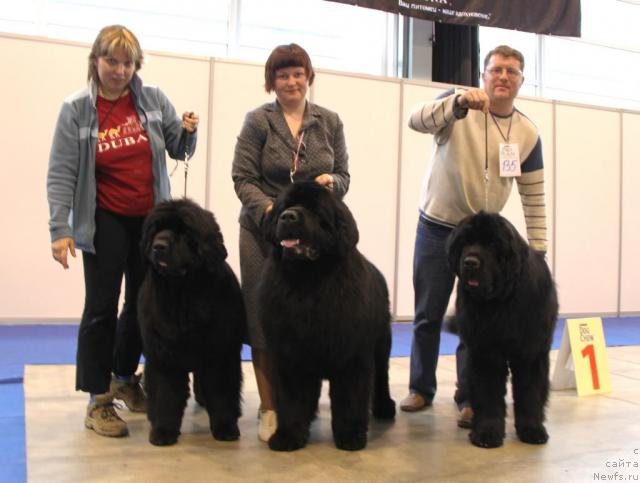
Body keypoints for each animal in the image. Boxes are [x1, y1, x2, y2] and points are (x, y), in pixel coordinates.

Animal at [138, 199, 245, 448]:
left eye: (184, 231)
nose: (158, 246)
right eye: (156, 229)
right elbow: (165, 394)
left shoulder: (220, 354)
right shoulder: (162, 354)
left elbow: (222, 392)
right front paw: (163, 431)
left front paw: (226, 427)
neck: (182, 293)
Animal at [258, 182, 396, 454]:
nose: (288, 217)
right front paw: (289, 435)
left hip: (381, 342)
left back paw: (385, 407)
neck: (308, 281)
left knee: (381, 374)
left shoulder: (352, 356)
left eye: (315, 210)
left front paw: (351, 435)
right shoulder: (290, 354)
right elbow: (292, 399)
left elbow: (351, 398)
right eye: (285, 206)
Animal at [448, 212, 556, 450]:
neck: (500, 301)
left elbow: (530, 391)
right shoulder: (485, 351)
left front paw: (532, 429)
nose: (470, 262)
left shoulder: (531, 352)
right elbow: (488, 392)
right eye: (464, 242)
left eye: (492, 244)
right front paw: (487, 433)